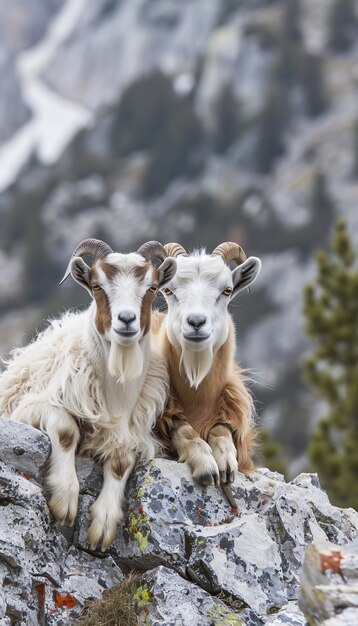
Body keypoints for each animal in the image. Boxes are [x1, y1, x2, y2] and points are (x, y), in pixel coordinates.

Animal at [0, 238, 176, 544]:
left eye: (152, 287)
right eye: (97, 286)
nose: (126, 320)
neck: (116, 397)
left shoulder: (132, 434)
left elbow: (120, 462)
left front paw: (103, 523)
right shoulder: (31, 407)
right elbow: (66, 430)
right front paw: (65, 499)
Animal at [152, 243, 262, 492]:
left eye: (227, 291)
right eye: (169, 290)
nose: (196, 322)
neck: (198, 398)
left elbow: (221, 429)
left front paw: (225, 462)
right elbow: (183, 429)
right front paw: (206, 466)